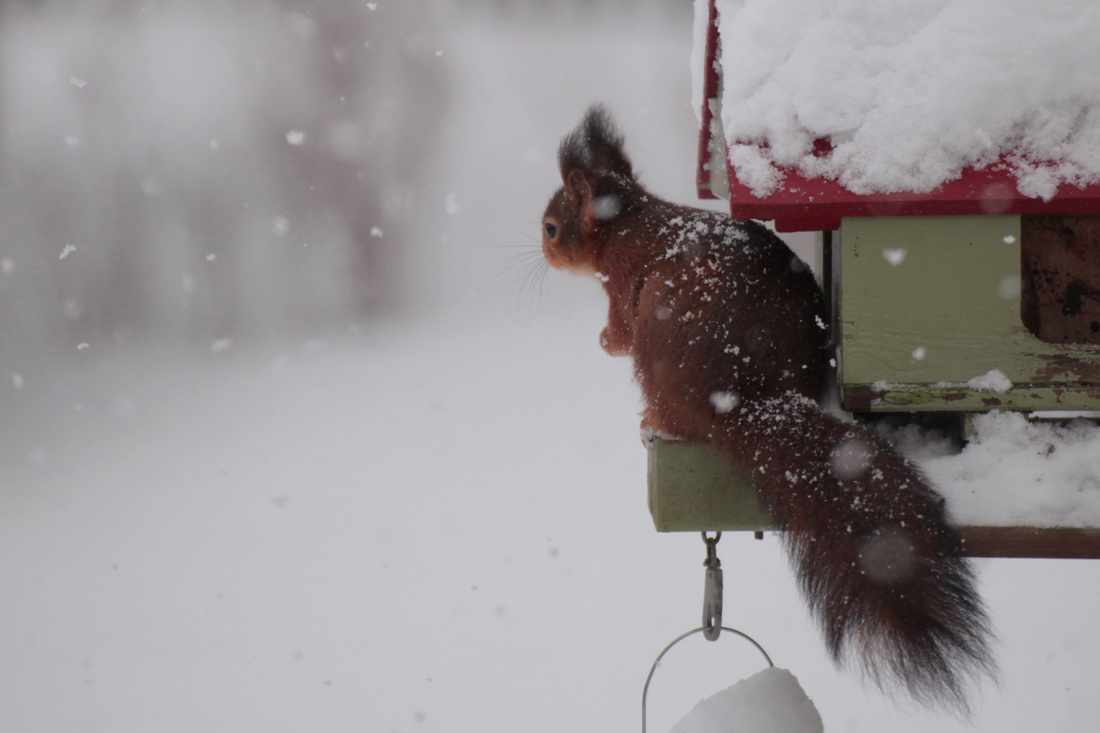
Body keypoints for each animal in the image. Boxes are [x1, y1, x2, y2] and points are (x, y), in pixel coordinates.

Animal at [541, 105, 996, 711]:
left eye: (551, 227)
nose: (543, 249)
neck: (627, 220)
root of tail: (752, 401)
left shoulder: (620, 285)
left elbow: (616, 333)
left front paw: (602, 341)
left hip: (656, 349)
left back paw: (653, 425)